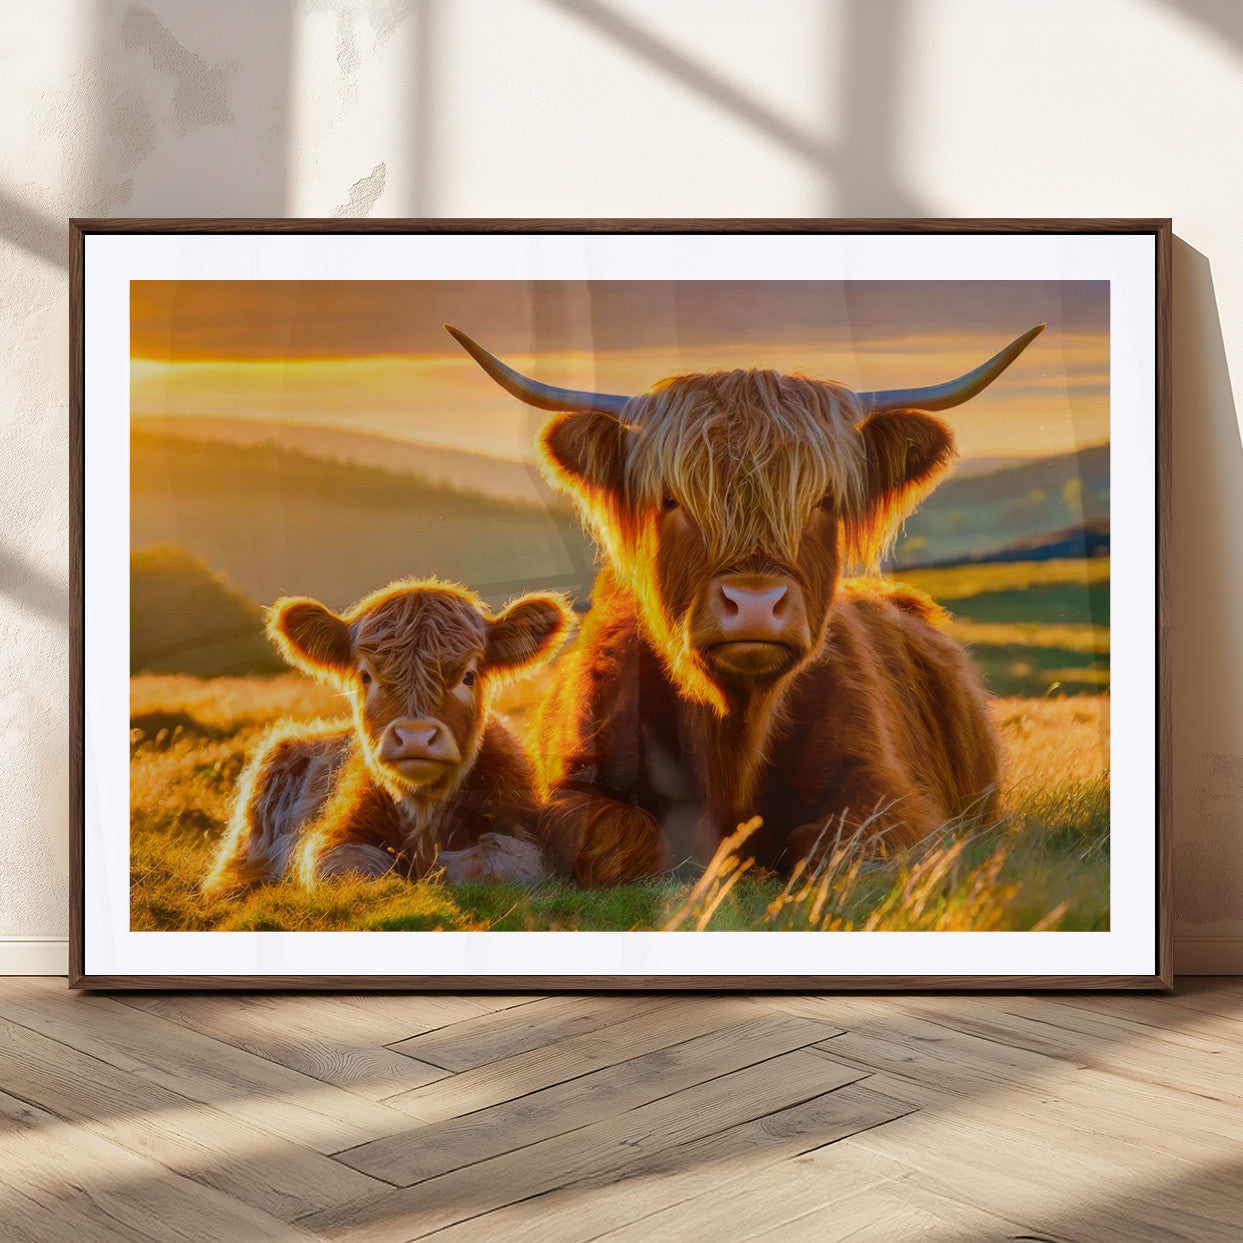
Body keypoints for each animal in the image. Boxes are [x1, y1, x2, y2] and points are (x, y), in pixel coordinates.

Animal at [201, 578, 573, 896]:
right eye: (367, 676)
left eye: (468, 676)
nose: (415, 738)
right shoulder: (329, 839)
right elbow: (354, 869)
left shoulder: (524, 832)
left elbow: (494, 861)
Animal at [448, 322, 1045, 886]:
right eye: (672, 499)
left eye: (824, 500)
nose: (755, 604)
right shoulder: (572, 787)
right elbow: (624, 839)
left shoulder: (889, 793)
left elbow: (833, 845)